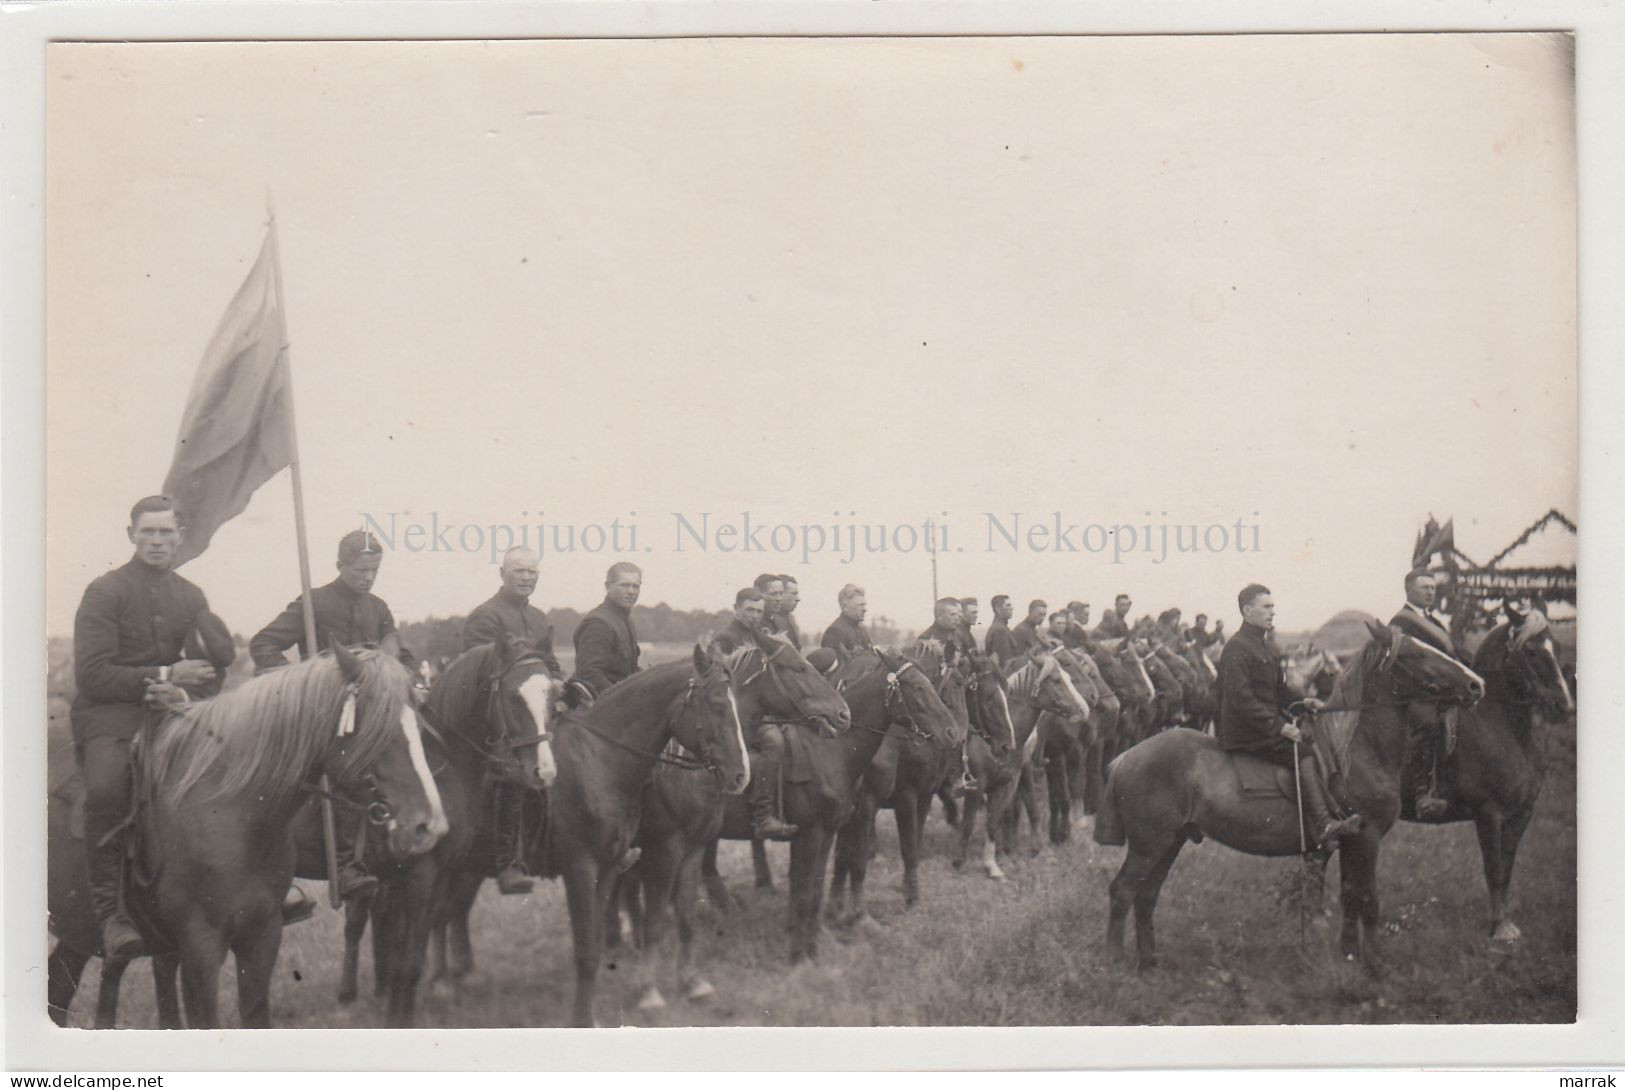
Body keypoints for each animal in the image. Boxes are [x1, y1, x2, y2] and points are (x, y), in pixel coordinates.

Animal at [47, 649, 448, 1033]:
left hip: (77, 931)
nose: (429, 826)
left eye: (419, 725)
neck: (231, 814)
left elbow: (255, 1014)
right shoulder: (201, 948)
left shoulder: (262, 936)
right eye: (379, 730)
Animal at [705, 649, 955, 961]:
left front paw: (816, 937)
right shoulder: (816, 830)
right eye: (918, 687)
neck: (832, 751)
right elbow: (817, 881)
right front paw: (805, 949)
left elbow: (819, 882)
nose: (952, 732)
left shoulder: (830, 829)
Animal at [1092, 623, 1488, 974]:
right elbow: (1368, 901)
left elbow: (1349, 897)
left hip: (1170, 842)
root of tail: (1124, 757)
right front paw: (1376, 965)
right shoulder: (1367, 837)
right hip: (1149, 845)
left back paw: (1148, 963)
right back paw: (1112, 962)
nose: (1476, 684)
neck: (1356, 750)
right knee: (1122, 891)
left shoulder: (1350, 843)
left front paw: (1348, 956)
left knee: (1146, 895)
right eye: (1416, 654)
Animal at [1410, 604, 1573, 948]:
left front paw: (1506, 922)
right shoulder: (1488, 813)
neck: (1503, 730)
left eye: (1556, 646)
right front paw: (1499, 929)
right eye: (1530, 651)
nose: (1564, 706)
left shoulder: (1521, 813)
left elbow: (1507, 868)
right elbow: (1494, 868)